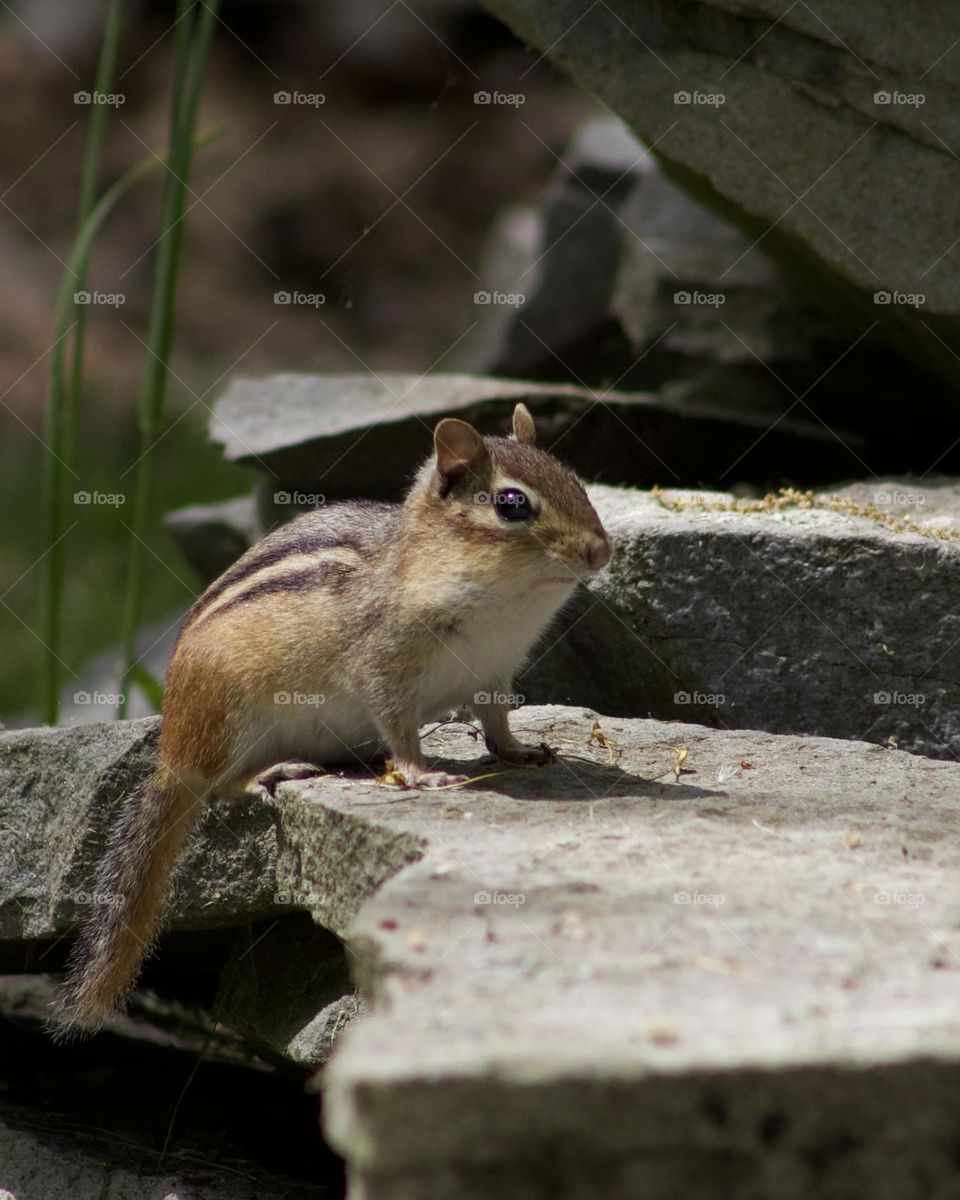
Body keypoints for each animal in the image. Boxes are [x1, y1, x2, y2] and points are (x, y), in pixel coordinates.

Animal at [52, 403, 611, 1036]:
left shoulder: (495, 671)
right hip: (232, 723)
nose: (601, 551)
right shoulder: (382, 670)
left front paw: (520, 751)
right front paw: (422, 773)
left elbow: (496, 722)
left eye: (575, 479)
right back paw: (278, 771)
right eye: (512, 504)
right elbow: (399, 725)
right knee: (220, 787)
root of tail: (172, 752)